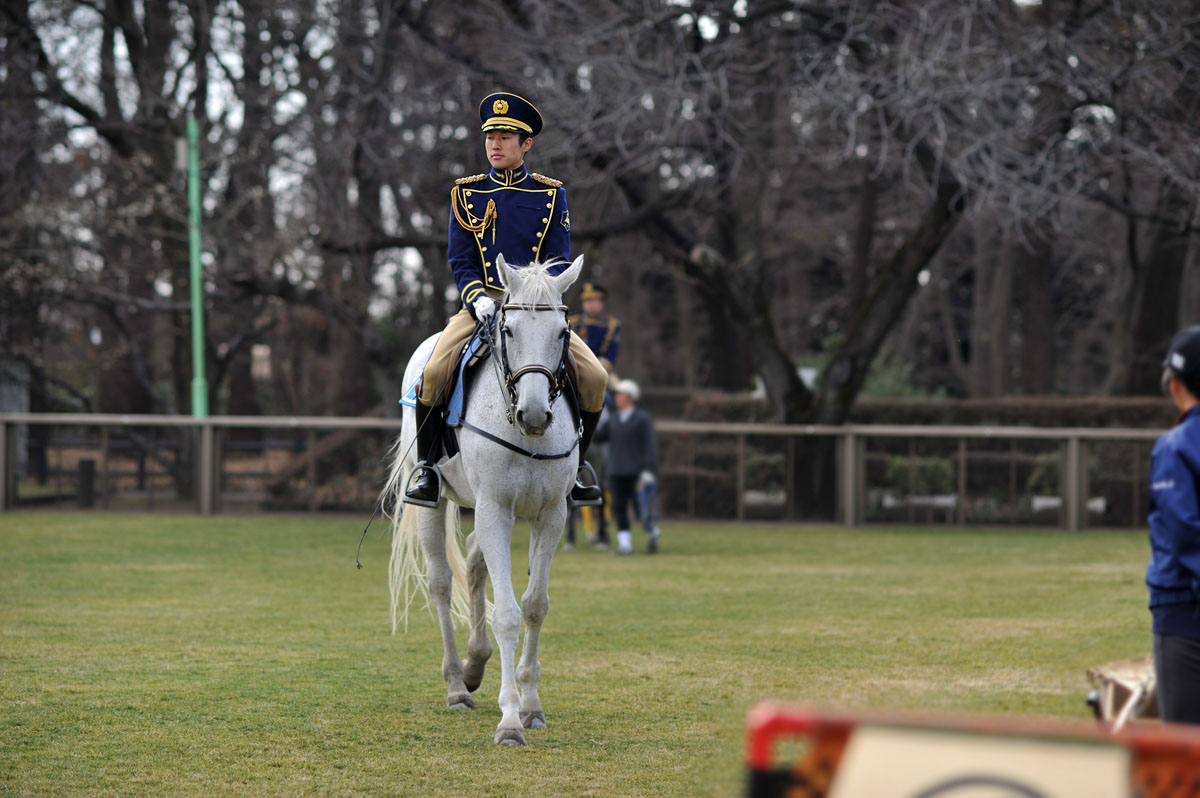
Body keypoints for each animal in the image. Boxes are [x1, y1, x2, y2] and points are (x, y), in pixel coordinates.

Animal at [381, 253, 588, 739]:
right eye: (508, 330)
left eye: (563, 333)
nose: (535, 415)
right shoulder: (496, 509)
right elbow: (507, 614)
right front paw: (510, 720)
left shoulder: (549, 515)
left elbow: (534, 606)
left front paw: (531, 706)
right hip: (439, 504)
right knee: (440, 583)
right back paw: (458, 684)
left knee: (475, 562)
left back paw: (476, 665)